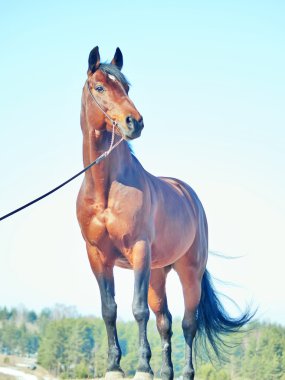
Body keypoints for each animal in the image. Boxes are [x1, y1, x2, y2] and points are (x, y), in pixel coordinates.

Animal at [76, 46, 252, 380]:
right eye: (100, 87)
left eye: (126, 87)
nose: (135, 122)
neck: (107, 190)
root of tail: (190, 196)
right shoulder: (97, 257)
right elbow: (109, 309)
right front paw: (114, 365)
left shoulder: (139, 252)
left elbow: (138, 310)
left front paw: (142, 367)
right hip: (158, 273)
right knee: (165, 322)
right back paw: (167, 371)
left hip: (188, 272)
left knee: (188, 324)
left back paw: (184, 372)